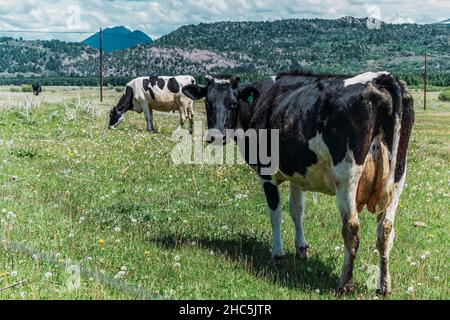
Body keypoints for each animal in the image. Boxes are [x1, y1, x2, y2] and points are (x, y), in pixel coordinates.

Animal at [181, 72, 414, 296]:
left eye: (232, 103)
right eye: (208, 102)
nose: (216, 136)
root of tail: (381, 78)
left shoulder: (266, 172)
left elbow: (276, 214)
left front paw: (278, 254)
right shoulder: (298, 174)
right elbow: (296, 210)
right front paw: (302, 249)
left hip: (347, 176)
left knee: (351, 228)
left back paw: (345, 284)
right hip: (398, 176)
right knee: (385, 229)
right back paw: (384, 286)